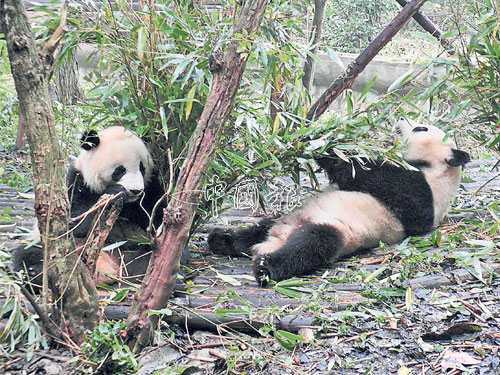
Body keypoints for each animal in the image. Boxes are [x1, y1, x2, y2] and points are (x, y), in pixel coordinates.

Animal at [12, 126, 166, 288]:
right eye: (120, 170)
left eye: (142, 168)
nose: (136, 190)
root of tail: (106, 270)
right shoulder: (77, 182)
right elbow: (73, 221)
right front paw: (115, 193)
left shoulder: (150, 188)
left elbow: (157, 216)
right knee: (30, 254)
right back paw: (36, 273)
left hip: (128, 249)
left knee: (147, 258)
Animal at [206, 119, 468, 284]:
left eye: (421, 128)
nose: (401, 118)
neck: (439, 171)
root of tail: (275, 240)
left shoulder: (420, 193)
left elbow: (363, 172)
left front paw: (324, 142)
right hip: (284, 219)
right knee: (254, 232)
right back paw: (221, 240)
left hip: (334, 229)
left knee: (309, 246)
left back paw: (265, 267)